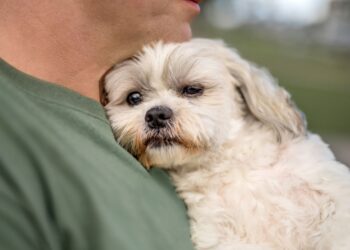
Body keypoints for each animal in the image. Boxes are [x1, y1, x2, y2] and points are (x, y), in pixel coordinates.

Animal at [103, 38, 350, 249]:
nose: (155, 114)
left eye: (192, 89)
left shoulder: (333, 193)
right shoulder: (218, 234)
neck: (231, 165)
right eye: (134, 98)